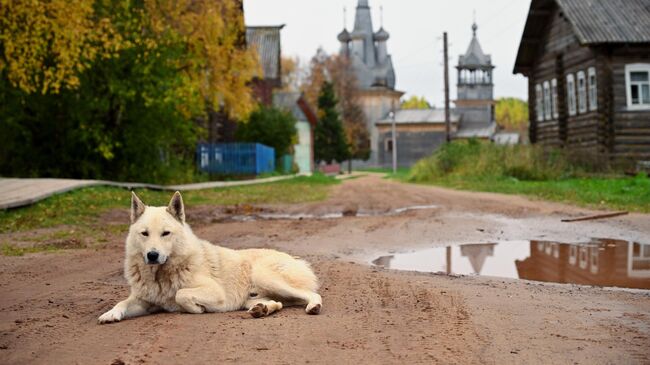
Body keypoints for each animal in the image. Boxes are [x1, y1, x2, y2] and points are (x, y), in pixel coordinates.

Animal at [98, 191, 322, 322]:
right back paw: (262, 310)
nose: (153, 255)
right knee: (279, 303)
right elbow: (122, 303)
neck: (160, 275)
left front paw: (196, 309)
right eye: (144, 233)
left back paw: (313, 307)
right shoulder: (143, 301)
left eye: (165, 233)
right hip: (253, 297)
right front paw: (111, 313)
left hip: (266, 277)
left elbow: (181, 294)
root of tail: (296, 259)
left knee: (312, 295)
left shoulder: (215, 292)